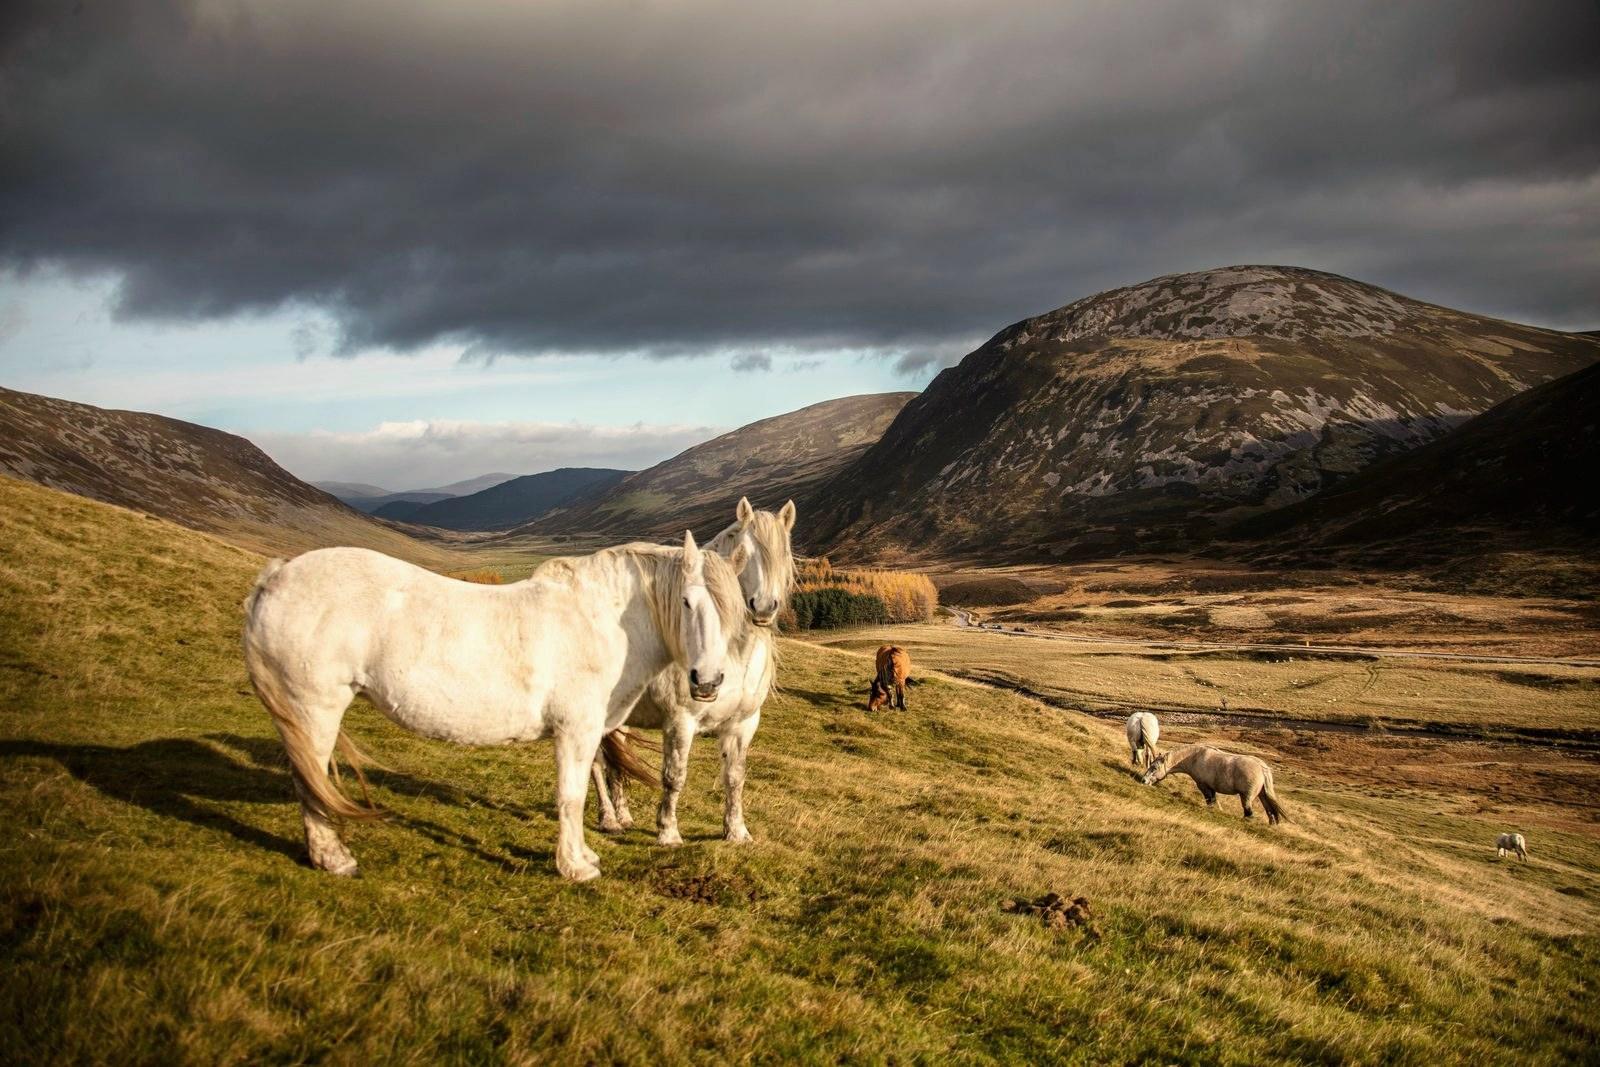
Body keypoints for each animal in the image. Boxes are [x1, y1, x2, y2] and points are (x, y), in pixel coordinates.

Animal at [243, 530, 748, 882]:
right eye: (687, 602)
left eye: (736, 611)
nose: (708, 682)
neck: (599, 621)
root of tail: (275, 577)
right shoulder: (576, 730)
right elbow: (571, 796)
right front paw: (575, 866)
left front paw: (583, 855)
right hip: (314, 710)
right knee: (309, 780)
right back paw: (334, 860)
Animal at [591, 498, 796, 845]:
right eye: (744, 552)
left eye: (784, 551)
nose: (763, 607)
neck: (733, 655)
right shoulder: (680, 721)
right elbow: (674, 776)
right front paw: (668, 832)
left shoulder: (743, 724)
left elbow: (735, 777)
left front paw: (736, 831)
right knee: (594, 762)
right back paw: (608, 819)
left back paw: (623, 815)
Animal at [1143, 744, 1285, 824]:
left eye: (1154, 767)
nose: (1144, 780)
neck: (1195, 758)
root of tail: (1262, 767)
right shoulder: (1211, 788)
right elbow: (1214, 800)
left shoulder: (1204, 786)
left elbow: (1210, 800)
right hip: (1262, 795)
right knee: (1270, 811)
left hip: (1246, 796)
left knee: (1249, 811)